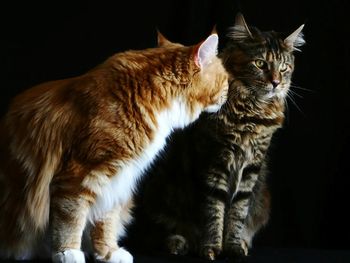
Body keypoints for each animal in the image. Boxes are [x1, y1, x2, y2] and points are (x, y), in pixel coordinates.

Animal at [0, 32, 230, 262]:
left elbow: (105, 222)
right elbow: (70, 221)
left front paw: (107, 251)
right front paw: (68, 252)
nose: (228, 95)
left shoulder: (115, 178)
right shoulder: (78, 176)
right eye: (226, 80)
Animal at [124, 13, 304, 260]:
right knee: (160, 233)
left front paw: (234, 246)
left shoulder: (251, 167)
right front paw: (211, 248)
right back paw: (179, 243)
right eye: (260, 64)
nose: (276, 82)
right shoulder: (214, 162)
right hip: (161, 192)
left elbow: (238, 212)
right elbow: (213, 211)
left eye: (284, 67)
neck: (250, 113)